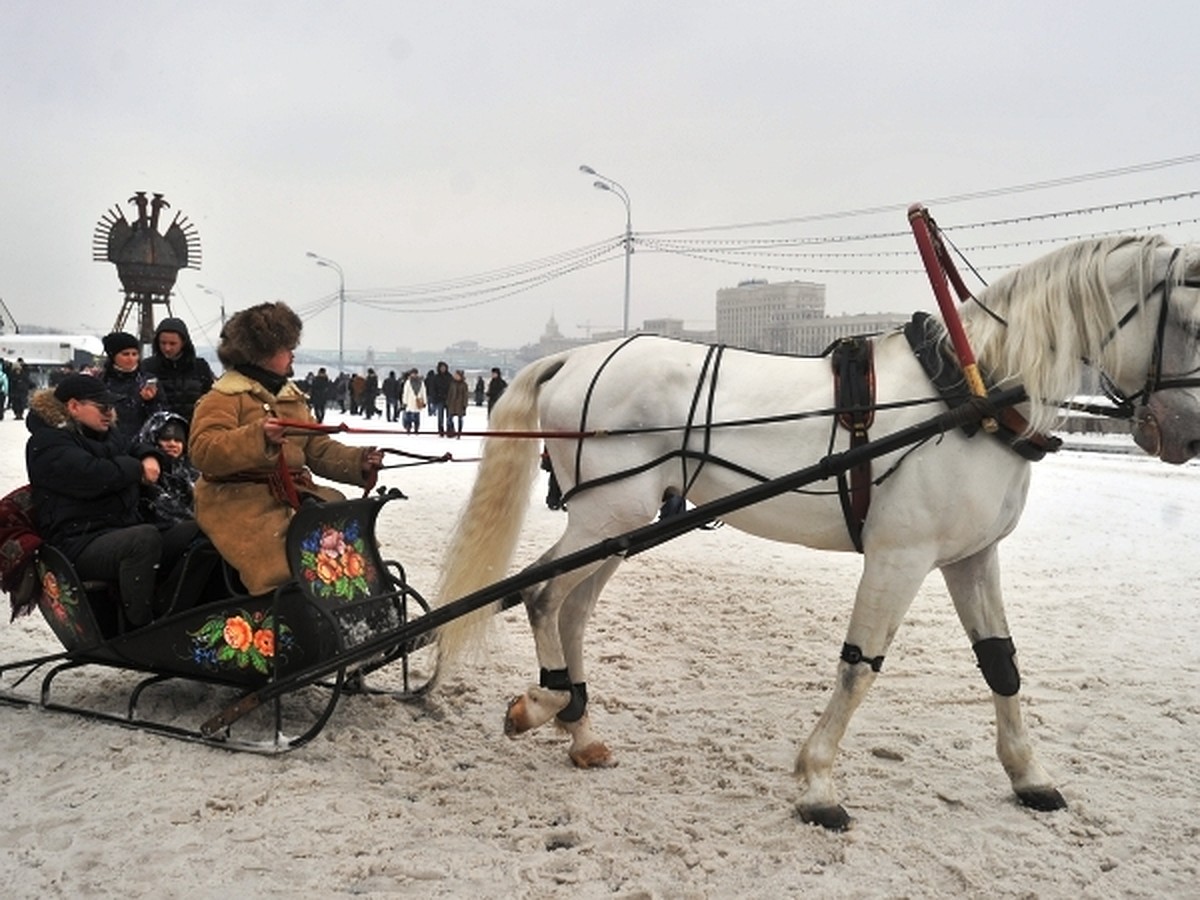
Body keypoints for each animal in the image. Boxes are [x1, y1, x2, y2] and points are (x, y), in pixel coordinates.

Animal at [432, 237, 1200, 830]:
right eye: (1193, 321)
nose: (1188, 435)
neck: (971, 395)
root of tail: (575, 356)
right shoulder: (899, 557)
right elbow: (860, 668)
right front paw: (819, 783)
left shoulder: (972, 557)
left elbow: (1002, 665)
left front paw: (1030, 776)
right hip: (607, 515)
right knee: (541, 597)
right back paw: (544, 703)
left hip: (616, 523)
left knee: (570, 608)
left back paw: (580, 729)